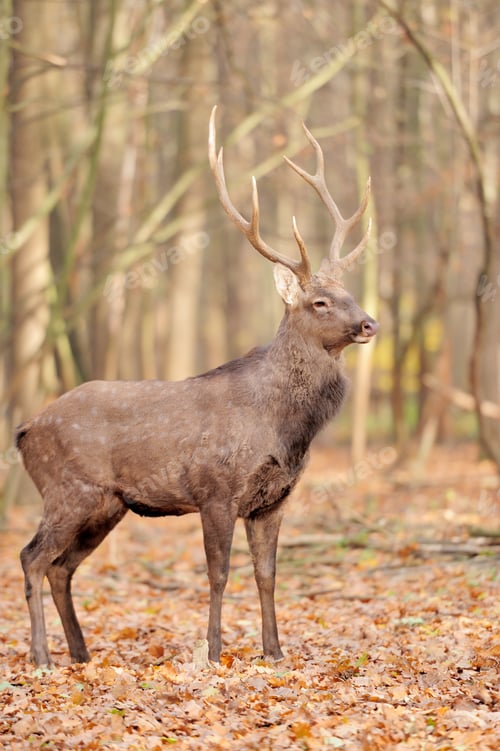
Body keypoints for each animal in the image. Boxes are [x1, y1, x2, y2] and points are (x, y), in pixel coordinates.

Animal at [17, 107, 379, 668]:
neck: (283, 428)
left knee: (61, 566)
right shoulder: (216, 489)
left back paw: (80, 654)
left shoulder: (273, 500)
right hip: (66, 488)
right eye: (319, 302)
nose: (369, 323)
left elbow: (267, 575)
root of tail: (25, 431)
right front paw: (213, 651)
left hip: (106, 505)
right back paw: (43, 658)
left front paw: (274, 652)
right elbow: (219, 573)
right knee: (31, 557)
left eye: (350, 293)